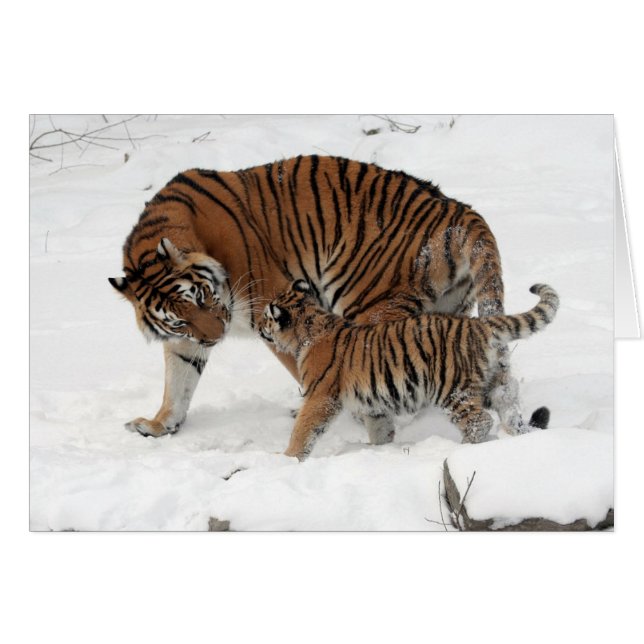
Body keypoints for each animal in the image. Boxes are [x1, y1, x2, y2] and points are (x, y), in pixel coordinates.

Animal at [109, 154, 531, 440]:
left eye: (200, 296)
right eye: (178, 319)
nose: (216, 337)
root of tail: (458, 210)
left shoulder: (272, 306)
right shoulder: (186, 340)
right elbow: (178, 381)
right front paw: (158, 425)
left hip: (368, 302)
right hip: (449, 310)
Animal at [259, 280, 559, 460]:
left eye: (266, 317)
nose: (260, 327)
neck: (309, 328)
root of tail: (479, 324)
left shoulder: (320, 396)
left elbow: (303, 429)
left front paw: (287, 458)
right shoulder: (373, 403)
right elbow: (380, 428)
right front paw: (378, 448)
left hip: (453, 389)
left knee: (480, 421)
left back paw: (460, 449)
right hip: (496, 384)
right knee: (510, 411)